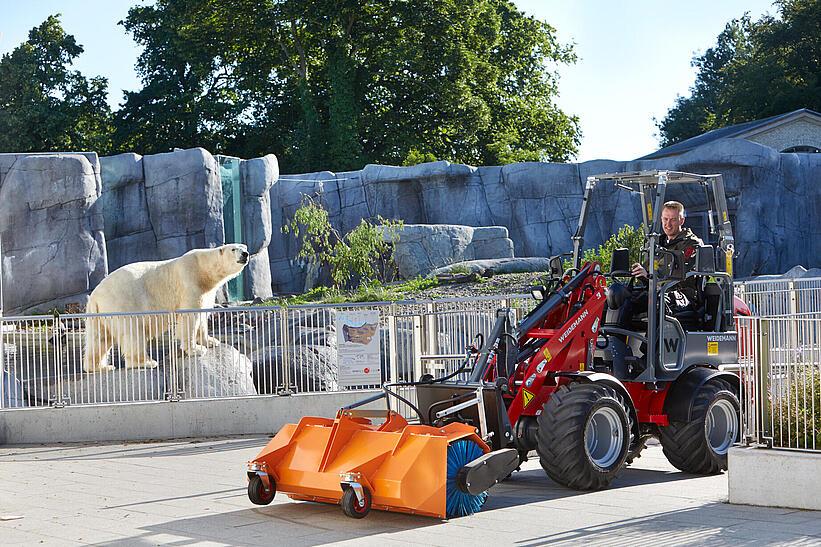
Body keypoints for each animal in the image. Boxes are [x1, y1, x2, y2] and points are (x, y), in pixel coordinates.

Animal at [83, 246, 251, 374]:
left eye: (244, 246)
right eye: (233, 249)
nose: (245, 254)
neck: (203, 270)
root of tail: (95, 296)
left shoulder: (206, 291)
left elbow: (202, 316)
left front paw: (211, 341)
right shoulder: (190, 281)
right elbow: (190, 317)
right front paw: (196, 350)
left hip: (99, 314)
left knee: (99, 338)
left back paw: (100, 367)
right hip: (123, 302)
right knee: (133, 332)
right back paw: (146, 362)